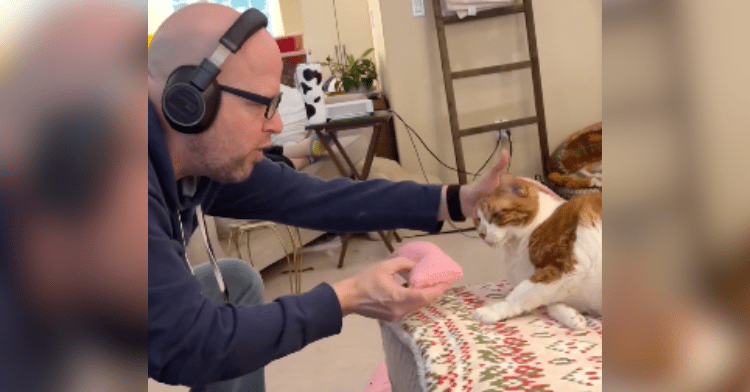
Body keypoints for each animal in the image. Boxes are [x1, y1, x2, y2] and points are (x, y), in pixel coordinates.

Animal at [472, 173, 604, 330]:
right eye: (478, 220)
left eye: (494, 214)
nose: (481, 234)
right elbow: (551, 305)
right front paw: (572, 316)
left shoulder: (564, 269)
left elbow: (519, 295)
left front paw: (490, 311)